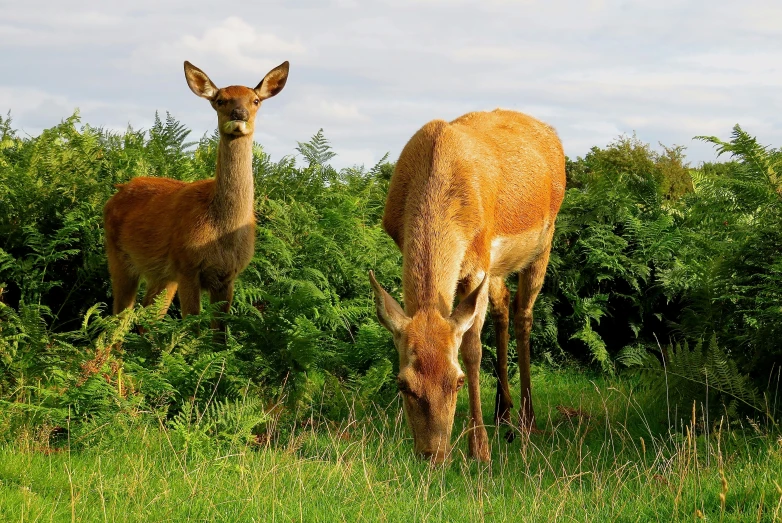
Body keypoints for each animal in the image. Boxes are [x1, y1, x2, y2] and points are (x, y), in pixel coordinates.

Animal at [102, 59, 290, 334]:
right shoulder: (188, 266)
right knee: (118, 318)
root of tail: (118, 191)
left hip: (162, 274)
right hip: (120, 257)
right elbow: (192, 328)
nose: (239, 114)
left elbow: (219, 334)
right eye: (220, 100)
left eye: (255, 100)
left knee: (147, 319)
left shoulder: (227, 277)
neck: (221, 230)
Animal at [370, 109, 568, 462]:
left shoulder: (477, 263)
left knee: (524, 313)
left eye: (458, 381)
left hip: (543, 241)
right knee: (504, 305)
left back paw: (527, 421)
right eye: (402, 383)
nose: (433, 454)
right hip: (497, 267)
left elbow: (472, 348)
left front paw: (480, 449)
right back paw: (502, 412)